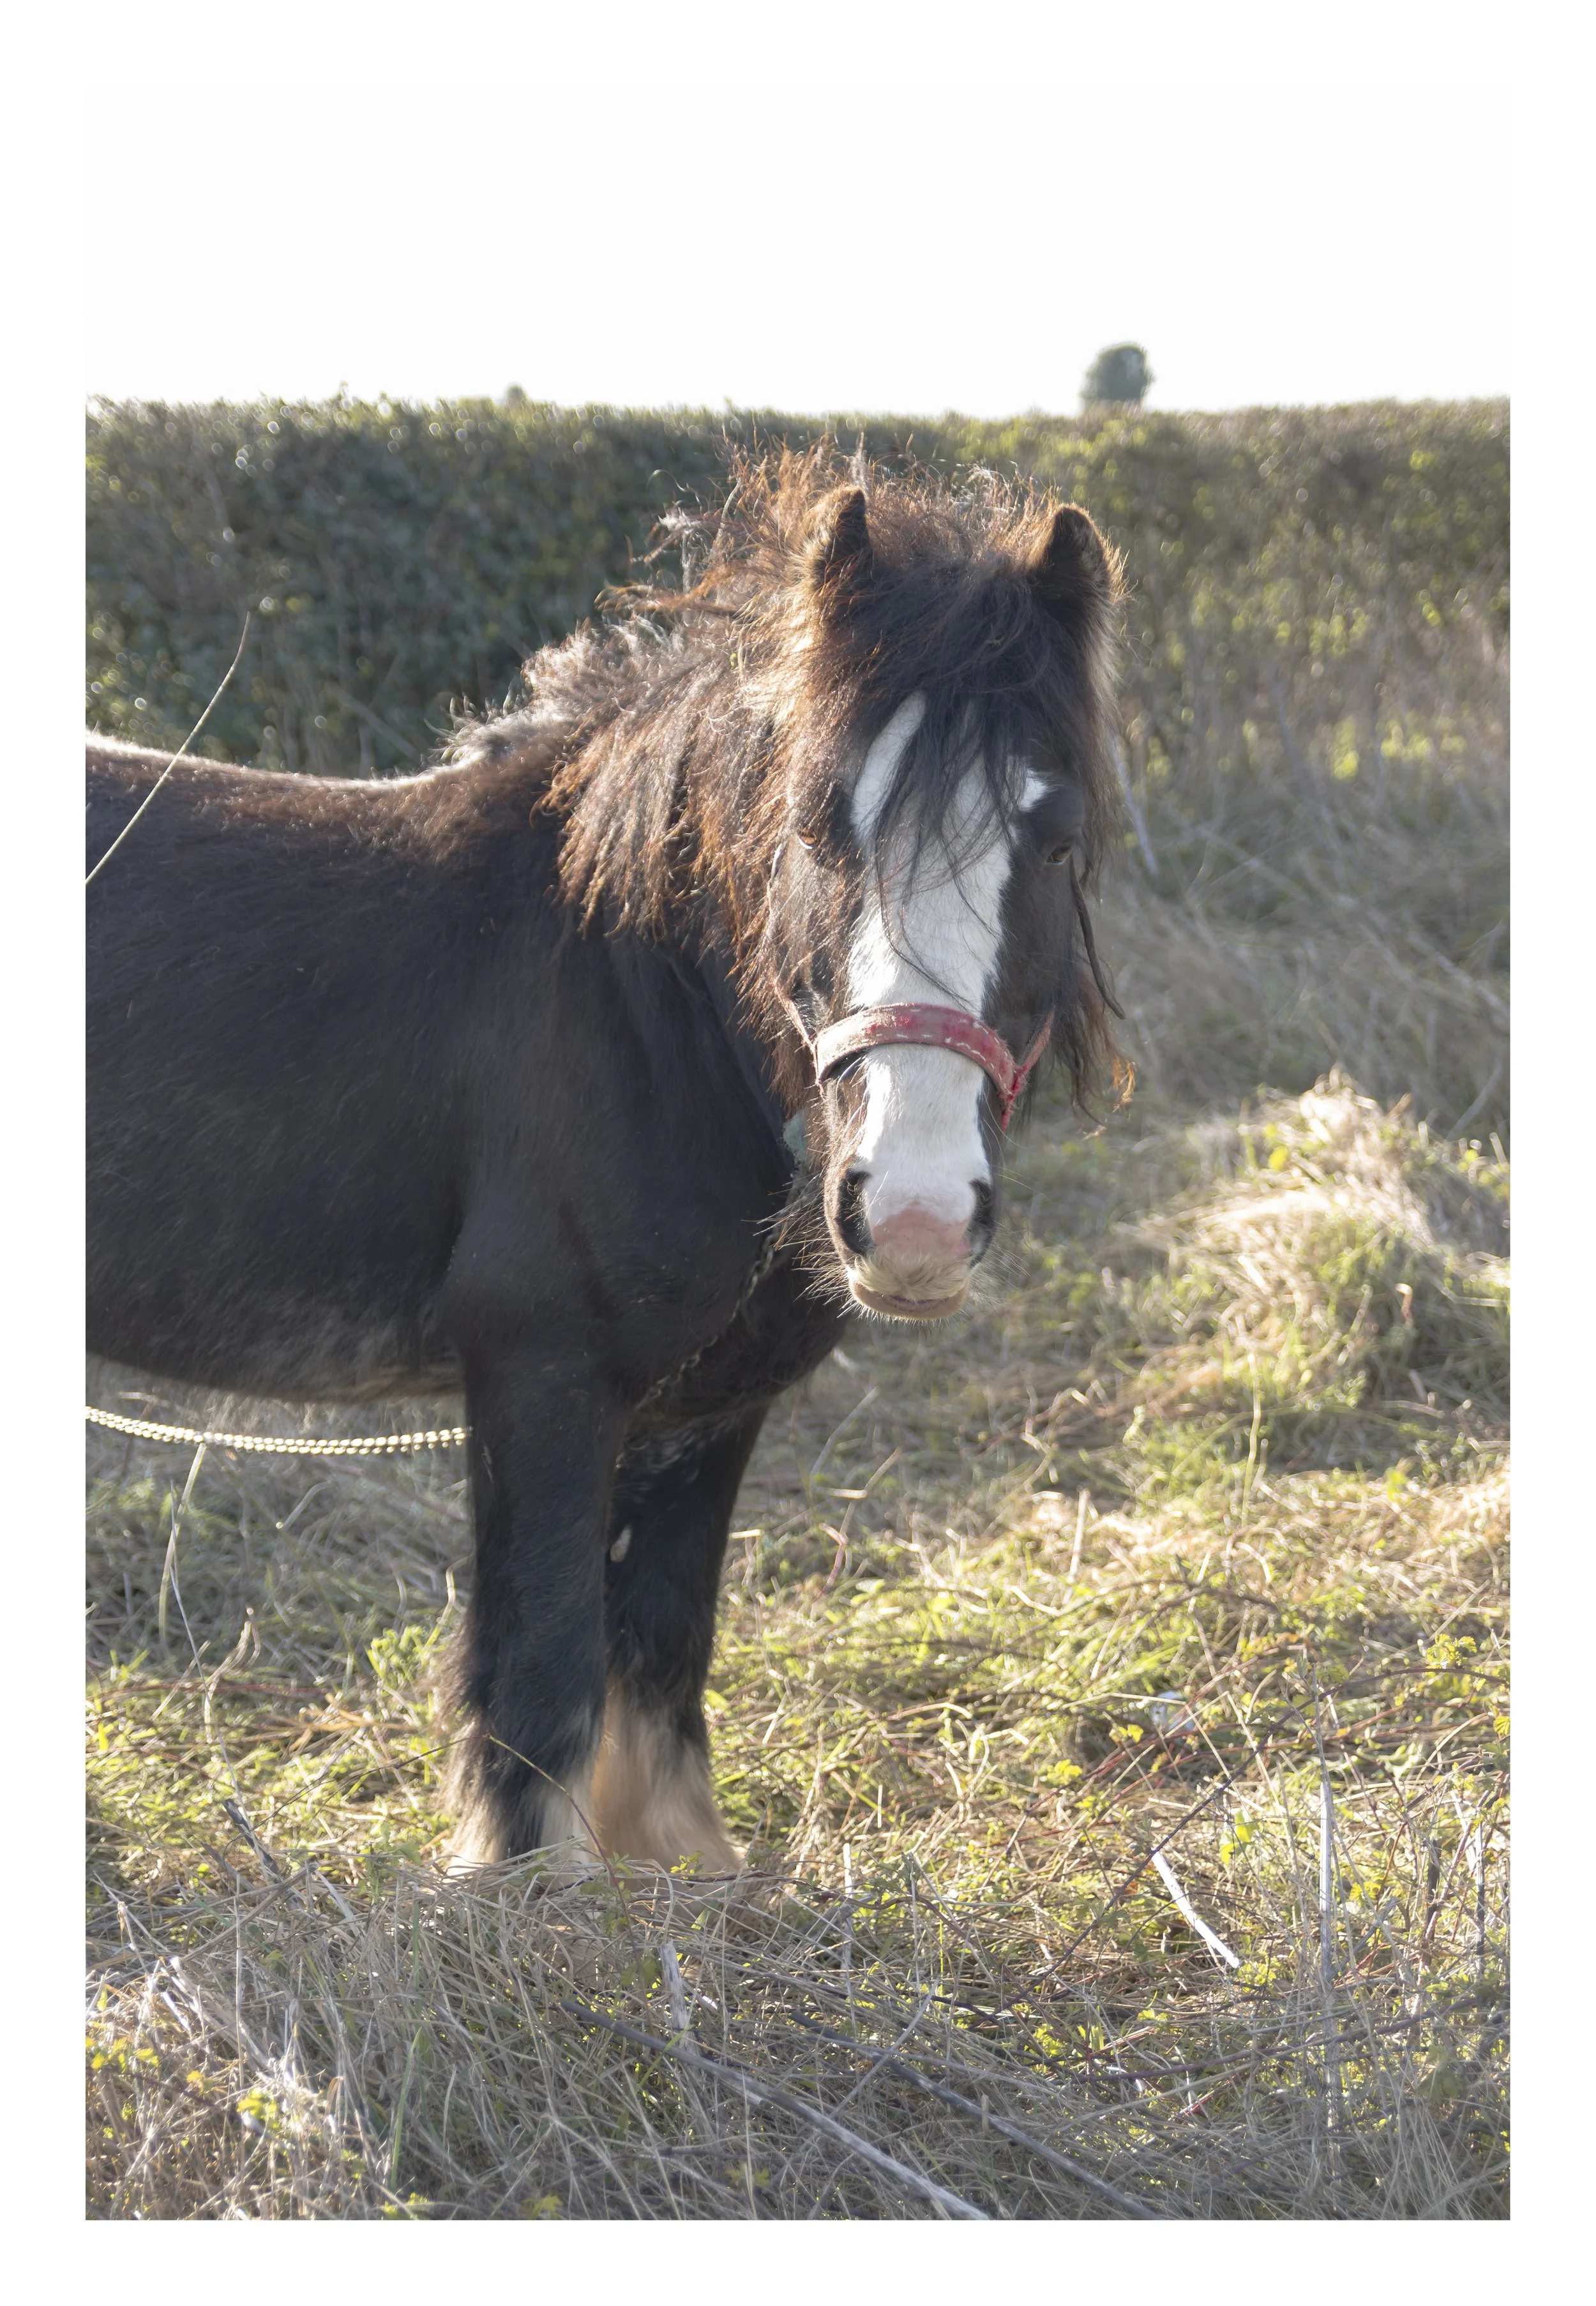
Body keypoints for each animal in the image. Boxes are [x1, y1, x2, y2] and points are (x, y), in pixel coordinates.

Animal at [86, 447, 1125, 1873]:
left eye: (1055, 840)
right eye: (818, 828)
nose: (912, 1220)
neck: (641, 1001)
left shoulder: (707, 1411)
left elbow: (661, 1639)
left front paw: (681, 1870)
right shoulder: (544, 1375)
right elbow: (543, 1658)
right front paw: (537, 1888)